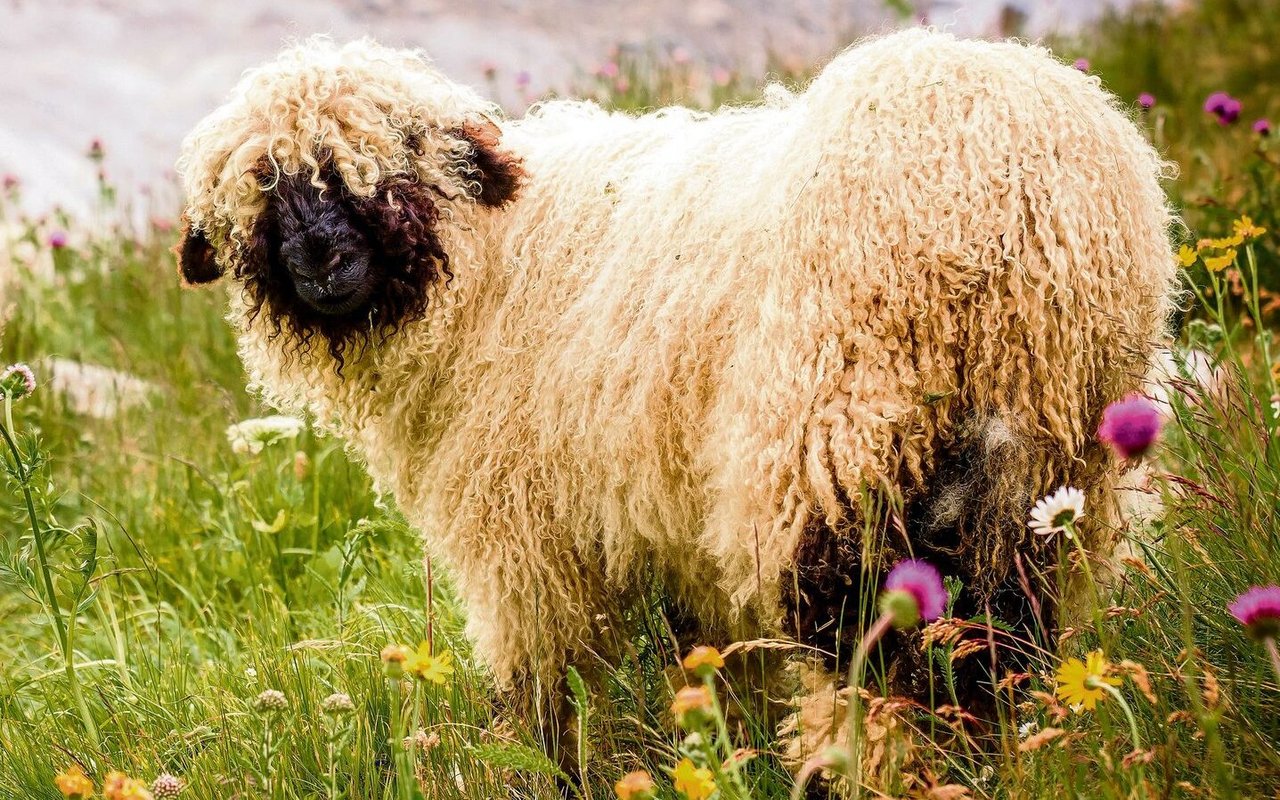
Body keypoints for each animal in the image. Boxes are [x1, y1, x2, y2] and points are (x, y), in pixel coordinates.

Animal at [172, 26, 1177, 742]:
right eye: (260, 190)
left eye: (392, 159)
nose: (322, 257)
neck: (487, 261)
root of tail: (1013, 192)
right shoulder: (666, 531)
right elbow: (712, 666)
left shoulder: (524, 539)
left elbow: (547, 692)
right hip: (1042, 471)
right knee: (997, 642)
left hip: (829, 446)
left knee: (871, 651)